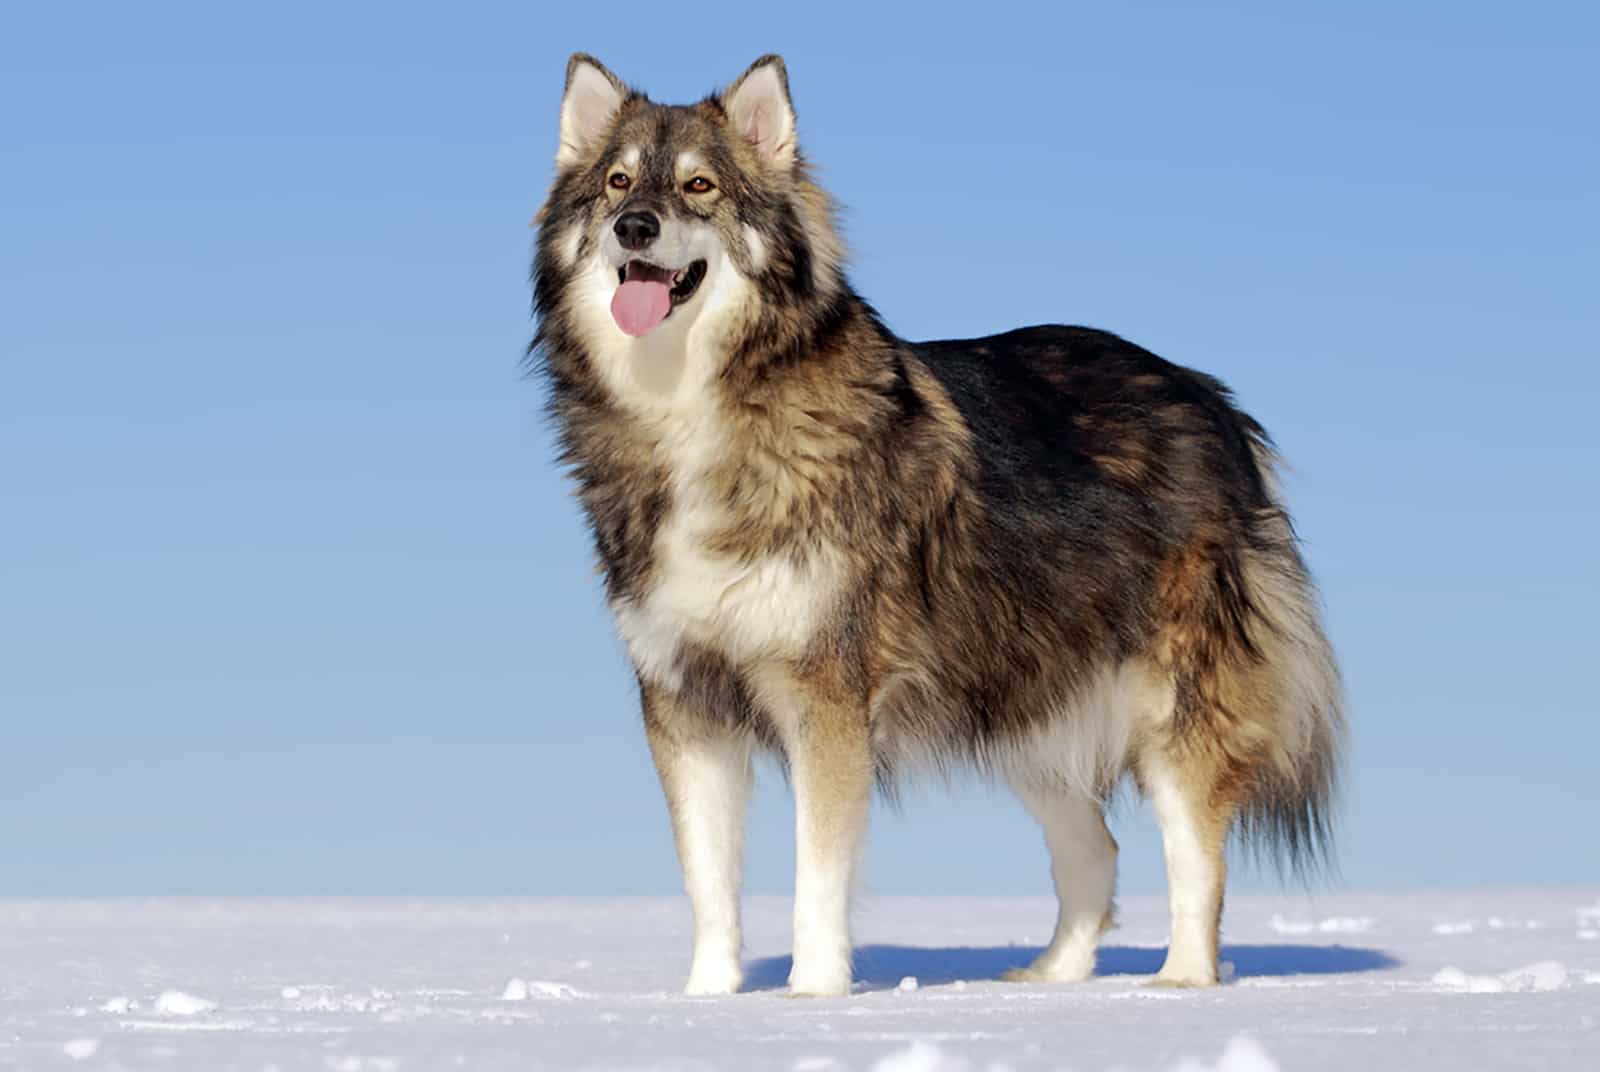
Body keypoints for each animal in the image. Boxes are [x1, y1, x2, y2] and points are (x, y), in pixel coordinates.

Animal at [531, 52, 1344, 998]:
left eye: (700, 185)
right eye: (617, 181)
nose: (635, 227)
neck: (698, 408)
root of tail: (1210, 399)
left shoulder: (826, 695)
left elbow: (817, 874)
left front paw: (812, 996)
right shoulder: (684, 704)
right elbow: (708, 883)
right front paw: (706, 1001)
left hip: (1170, 703)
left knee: (1196, 854)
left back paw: (1180, 982)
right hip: (1030, 703)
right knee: (1095, 850)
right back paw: (1051, 979)